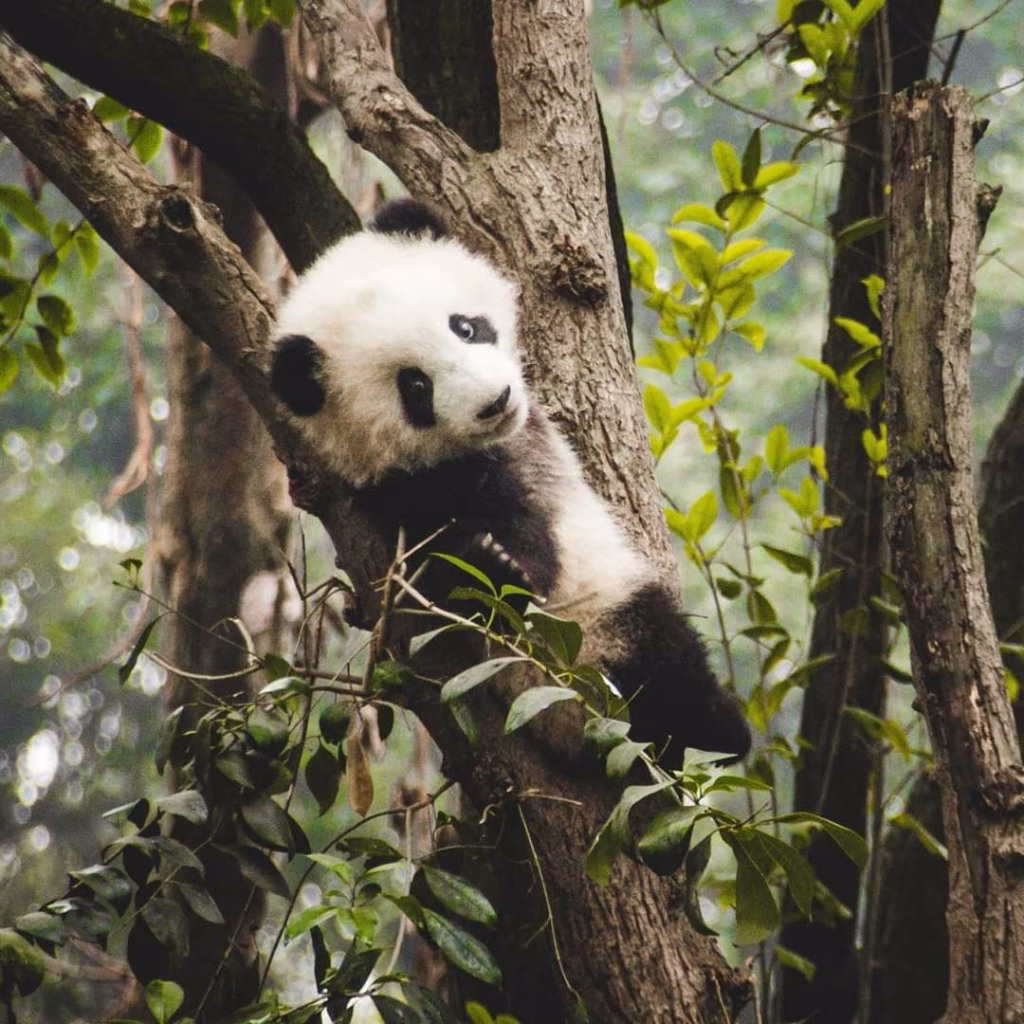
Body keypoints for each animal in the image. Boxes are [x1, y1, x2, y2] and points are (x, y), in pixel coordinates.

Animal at [269, 198, 750, 766]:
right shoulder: (407, 487)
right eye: (415, 386)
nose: (495, 401)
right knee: (665, 658)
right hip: (599, 628)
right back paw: (722, 728)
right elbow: (478, 553)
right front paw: (492, 563)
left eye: (465, 327)